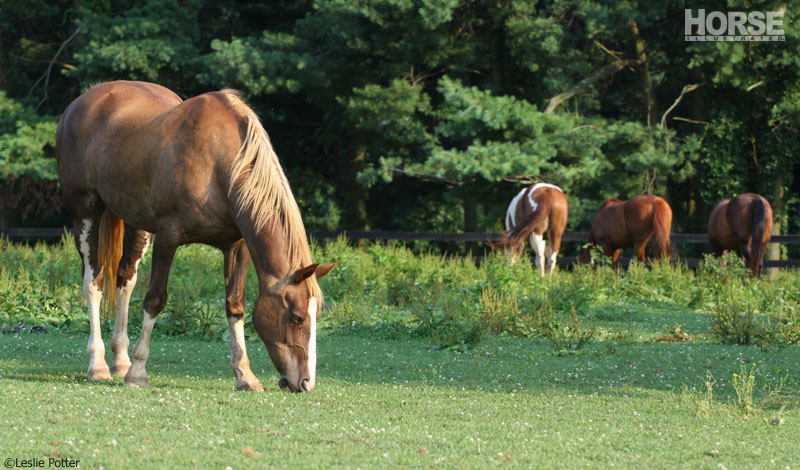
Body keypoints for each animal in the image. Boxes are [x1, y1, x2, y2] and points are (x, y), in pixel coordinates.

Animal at [56, 81, 338, 392]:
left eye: (316, 315)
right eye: (296, 317)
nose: (305, 382)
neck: (219, 166)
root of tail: (84, 100)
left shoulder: (237, 246)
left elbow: (235, 305)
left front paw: (245, 375)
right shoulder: (168, 236)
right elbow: (155, 300)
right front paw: (138, 372)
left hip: (137, 224)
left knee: (125, 280)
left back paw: (120, 360)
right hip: (85, 211)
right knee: (93, 283)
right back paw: (99, 364)